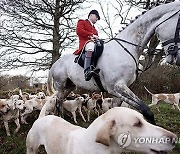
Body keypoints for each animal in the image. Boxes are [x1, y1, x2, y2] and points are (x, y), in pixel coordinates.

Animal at [47, 1, 180, 124]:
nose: (177, 57)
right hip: (60, 86)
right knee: (58, 102)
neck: (125, 48)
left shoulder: (119, 92)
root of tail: (55, 64)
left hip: (69, 87)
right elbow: (146, 110)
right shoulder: (117, 87)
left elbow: (115, 110)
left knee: (61, 101)